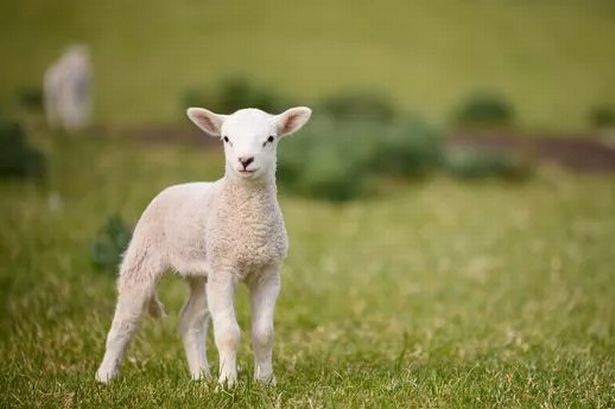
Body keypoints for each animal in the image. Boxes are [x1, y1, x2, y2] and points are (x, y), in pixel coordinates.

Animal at [95, 105, 312, 386]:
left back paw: (200, 376)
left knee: (190, 320)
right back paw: (104, 376)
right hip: (144, 254)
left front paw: (265, 381)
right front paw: (228, 383)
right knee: (125, 320)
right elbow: (228, 333)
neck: (250, 226)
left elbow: (264, 334)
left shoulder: (267, 273)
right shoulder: (224, 270)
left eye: (270, 139)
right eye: (226, 139)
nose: (245, 161)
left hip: (202, 273)